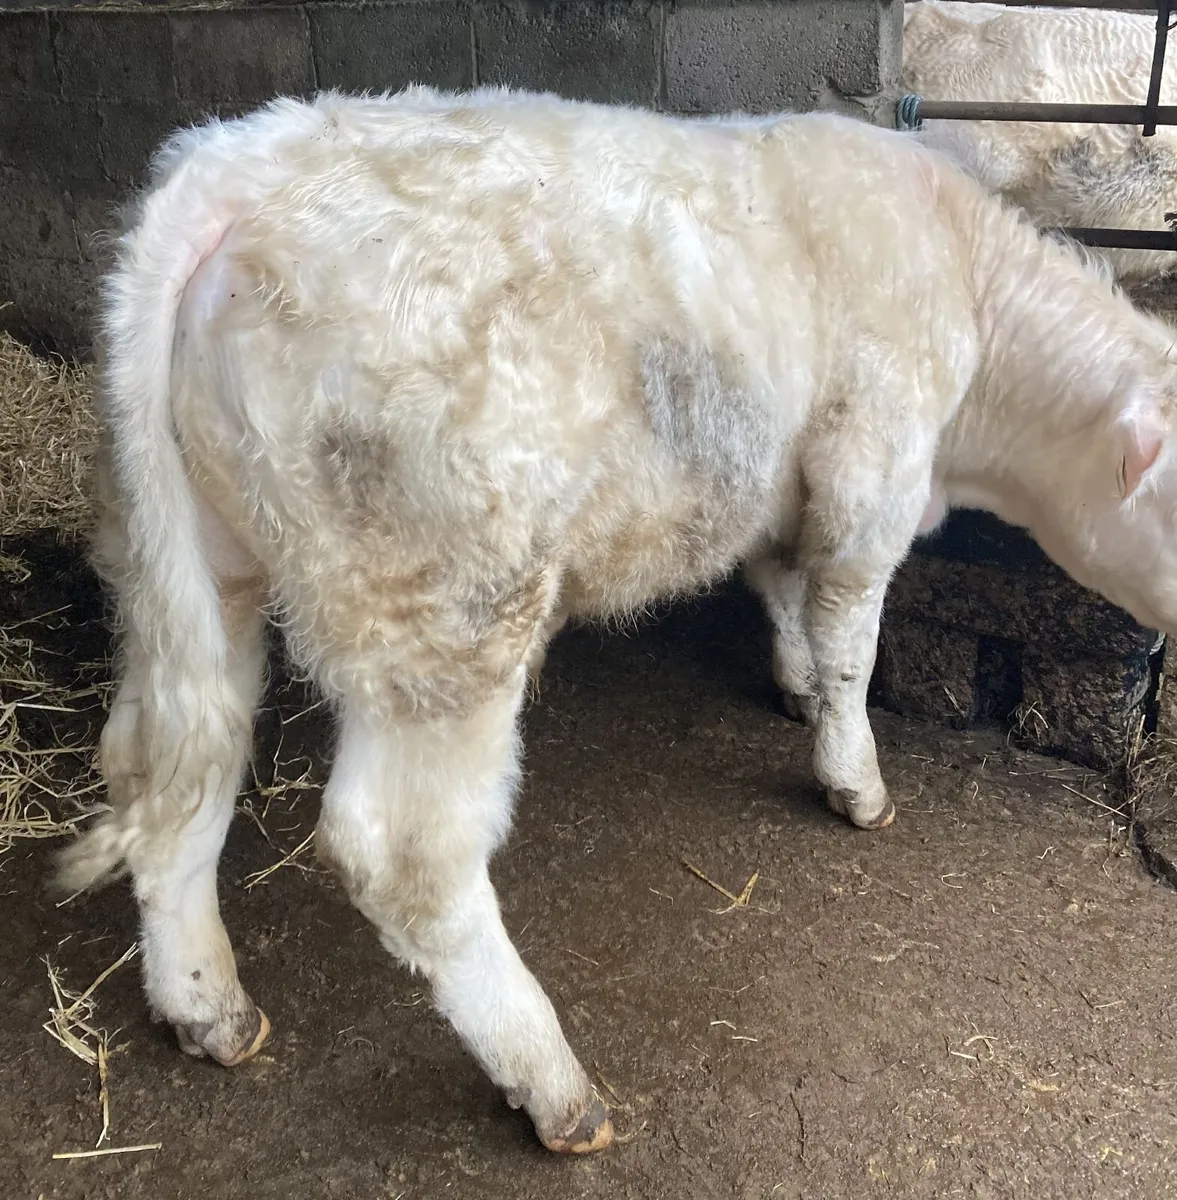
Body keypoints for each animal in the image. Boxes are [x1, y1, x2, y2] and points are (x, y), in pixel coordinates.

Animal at [57, 86, 1177, 1154]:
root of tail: (239, 163)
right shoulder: (871, 476)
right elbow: (849, 641)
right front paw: (853, 779)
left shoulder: (780, 488)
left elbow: (781, 593)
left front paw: (792, 688)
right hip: (446, 612)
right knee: (405, 857)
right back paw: (551, 1083)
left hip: (183, 570)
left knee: (167, 765)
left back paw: (206, 1006)